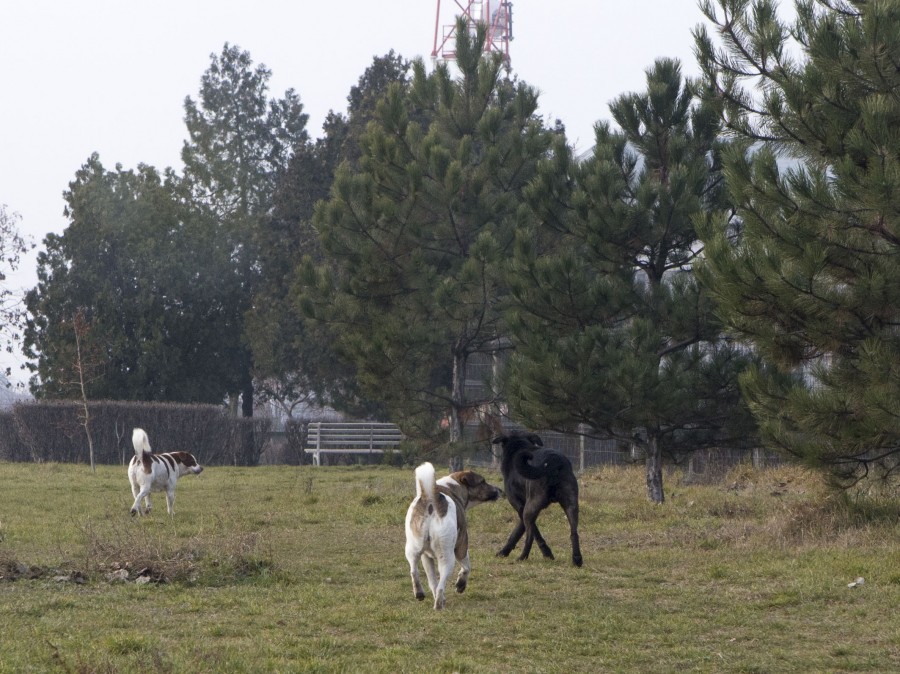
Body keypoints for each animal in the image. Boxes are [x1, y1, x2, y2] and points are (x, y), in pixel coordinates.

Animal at [404, 462, 502, 608]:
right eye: (482, 481)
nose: (500, 490)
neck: (452, 487)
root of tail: (431, 499)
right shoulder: (462, 546)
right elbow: (466, 567)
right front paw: (460, 584)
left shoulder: (426, 557)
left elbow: (432, 581)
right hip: (447, 557)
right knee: (441, 585)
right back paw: (439, 605)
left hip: (413, 549)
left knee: (415, 571)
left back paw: (420, 593)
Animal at [492, 430, 584, 560]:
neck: (518, 446)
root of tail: (553, 460)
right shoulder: (523, 509)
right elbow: (517, 531)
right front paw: (504, 551)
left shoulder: (521, 507)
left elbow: (533, 532)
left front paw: (547, 552)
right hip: (571, 505)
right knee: (574, 533)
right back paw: (577, 559)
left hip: (530, 507)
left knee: (530, 537)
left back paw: (522, 557)